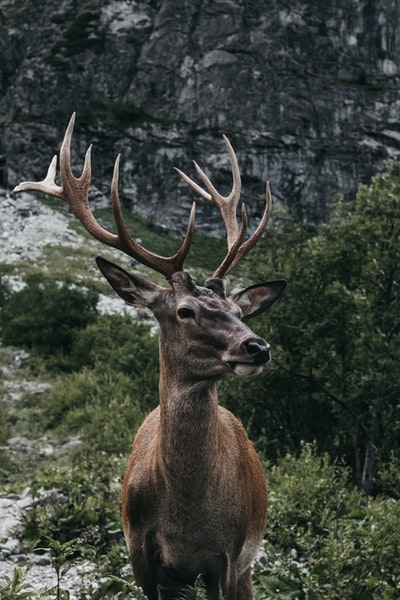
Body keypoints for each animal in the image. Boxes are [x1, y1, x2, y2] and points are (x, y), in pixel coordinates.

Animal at [14, 113, 286, 600]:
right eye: (185, 310)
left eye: (239, 312)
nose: (257, 346)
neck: (187, 517)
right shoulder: (139, 549)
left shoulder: (228, 556)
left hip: (248, 564)